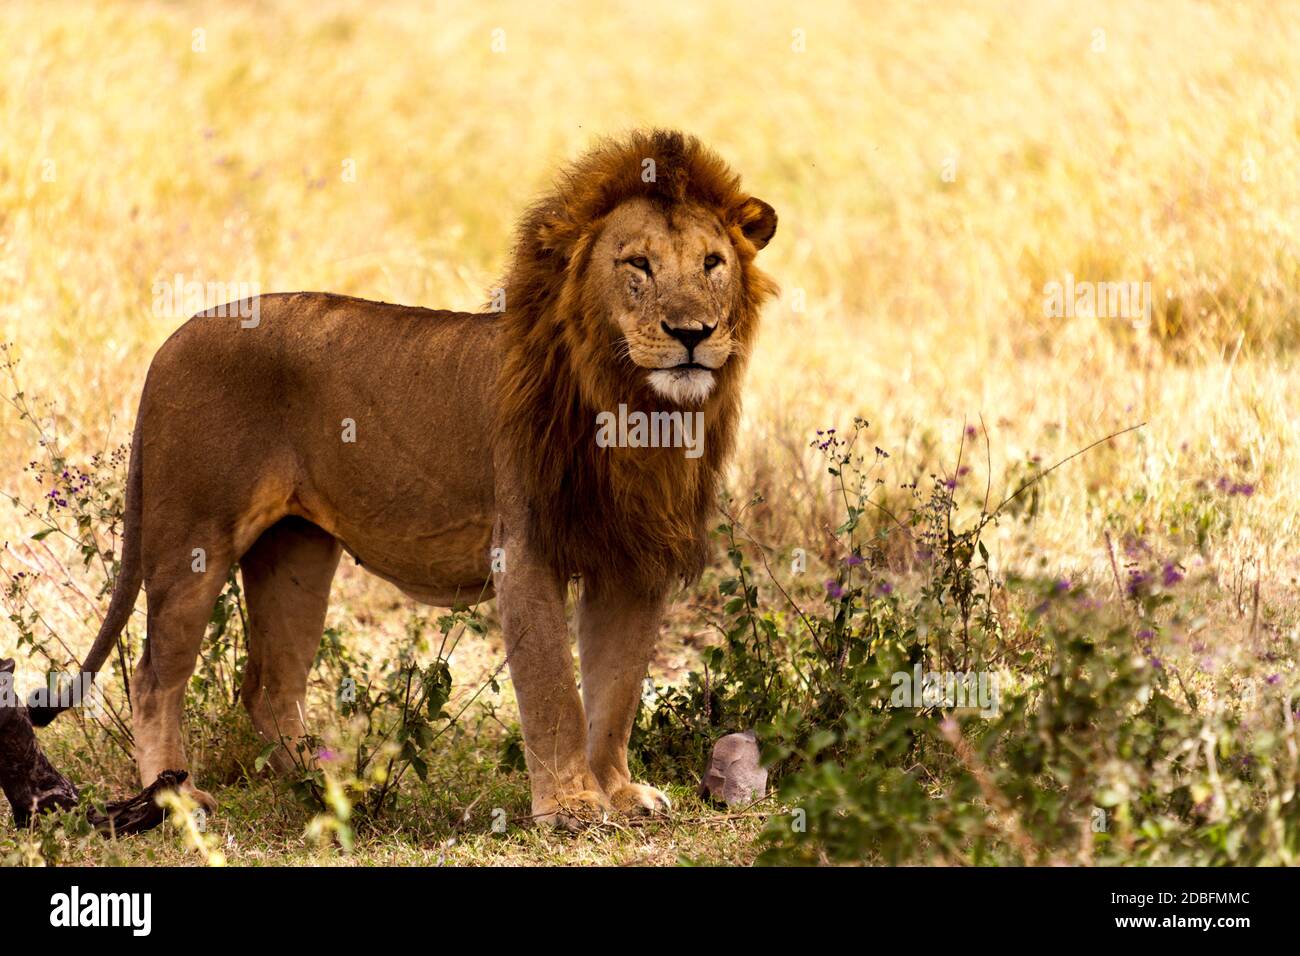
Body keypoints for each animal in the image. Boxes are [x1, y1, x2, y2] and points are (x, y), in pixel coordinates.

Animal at [31, 129, 779, 828]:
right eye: (637, 265)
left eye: (712, 264)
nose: (692, 332)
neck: (635, 410)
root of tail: (170, 340)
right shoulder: (524, 548)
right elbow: (555, 691)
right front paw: (569, 806)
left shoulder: (633, 559)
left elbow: (617, 689)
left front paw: (620, 793)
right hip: (192, 536)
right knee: (153, 675)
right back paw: (177, 799)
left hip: (296, 552)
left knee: (268, 686)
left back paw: (329, 787)